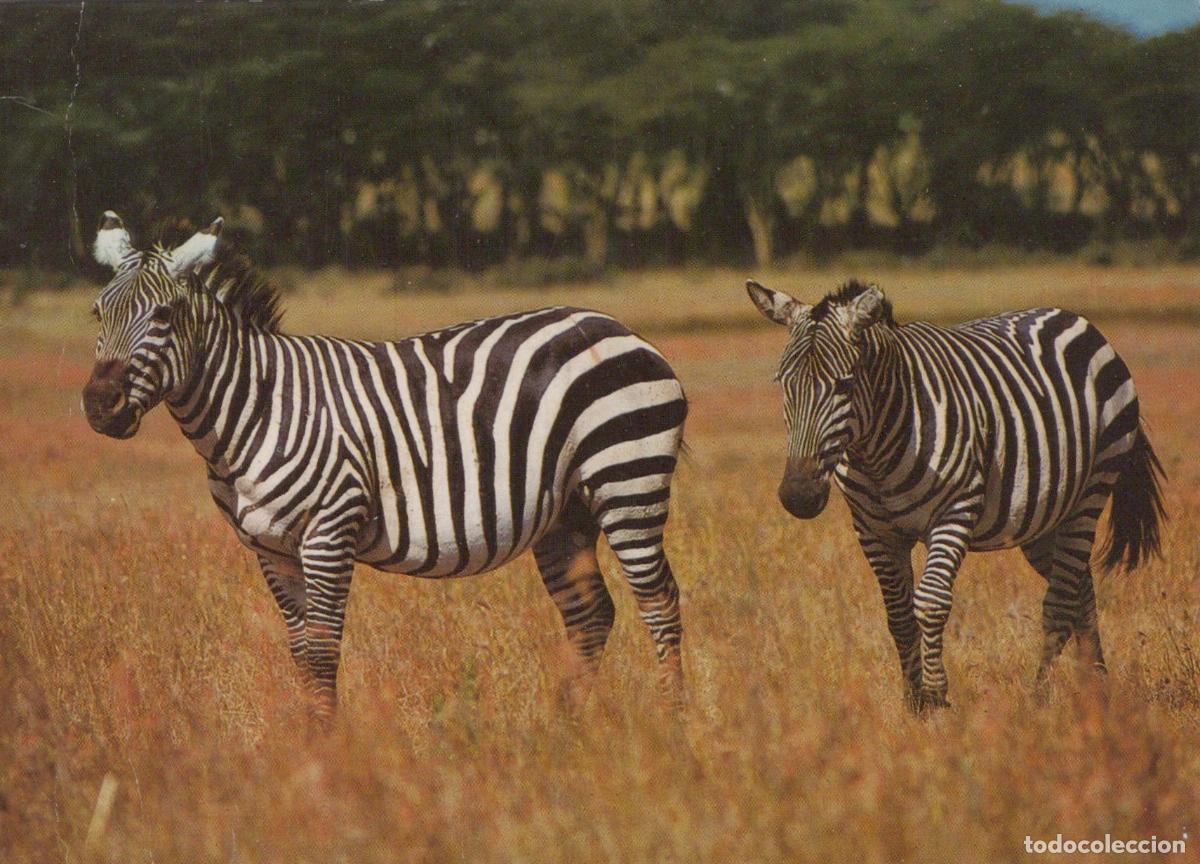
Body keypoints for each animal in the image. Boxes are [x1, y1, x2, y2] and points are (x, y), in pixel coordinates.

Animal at [82, 211, 688, 724]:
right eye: (96, 313)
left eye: (163, 316)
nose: (100, 406)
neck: (257, 408)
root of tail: (617, 327)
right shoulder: (269, 548)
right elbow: (300, 650)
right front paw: (310, 747)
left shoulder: (329, 531)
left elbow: (322, 651)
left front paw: (330, 756)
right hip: (568, 510)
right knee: (591, 614)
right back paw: (567, 727)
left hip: (627, 479)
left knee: (658, 601)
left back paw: (672, 726)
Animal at [747, 278, 1165, 711]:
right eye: (782, 383)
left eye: (844, 384)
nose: (798, 496)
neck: (876, 452)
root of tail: (1072, 318)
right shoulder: (873, 530)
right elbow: (898, 615)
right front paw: (913, 702)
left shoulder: (954, 512)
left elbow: (930, 603)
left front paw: (935, 695)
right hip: (1045, 516)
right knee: (1081, 589)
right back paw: (1097, 688)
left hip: (1091, 491)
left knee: (1060, 600)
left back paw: (1040, 696)